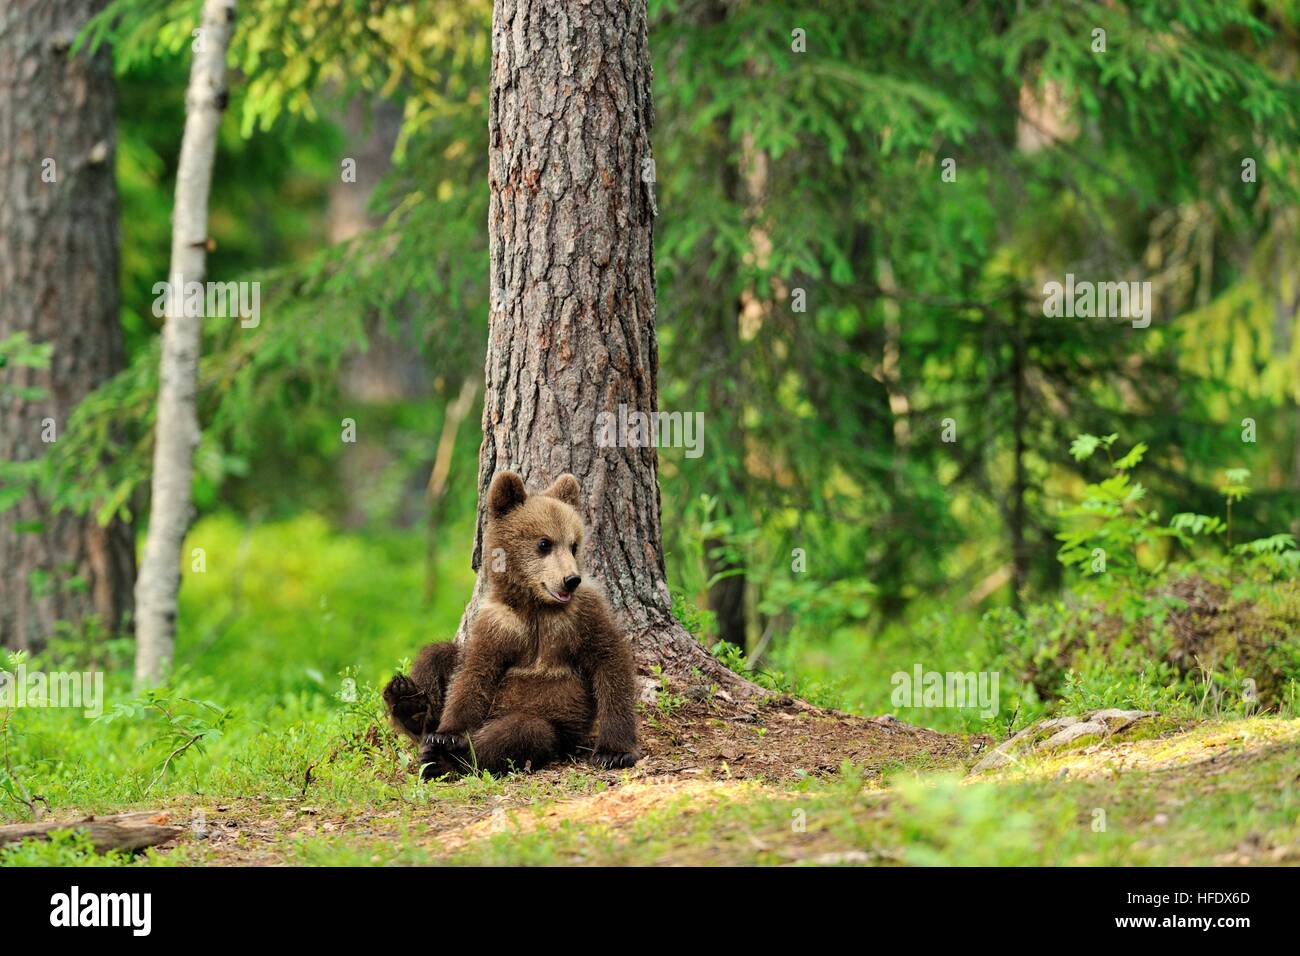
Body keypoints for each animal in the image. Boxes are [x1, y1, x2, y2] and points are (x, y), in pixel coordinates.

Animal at [383, 470, 640, 778]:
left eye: (574, 544)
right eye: (544, 542)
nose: (571, 579)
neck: (535, 606)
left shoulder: (584, 615)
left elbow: (609, 661)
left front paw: (614, 752)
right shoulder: (498, 622)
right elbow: (473, 674)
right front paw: (447, 735)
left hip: (556, 727)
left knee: (522, 730)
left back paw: (444, 757)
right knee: (438, 654)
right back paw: (409, 705)